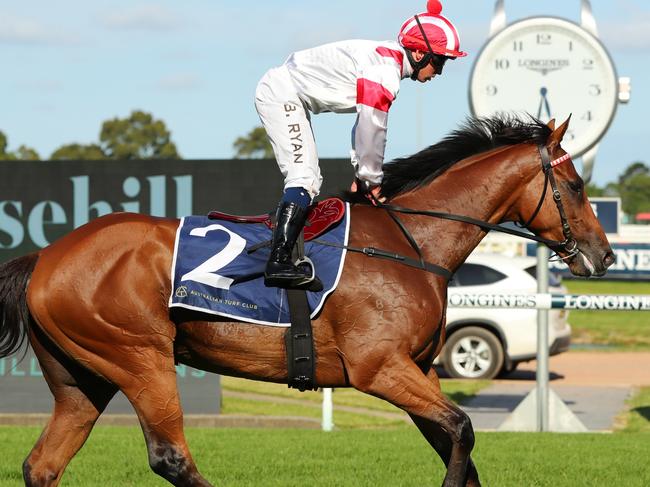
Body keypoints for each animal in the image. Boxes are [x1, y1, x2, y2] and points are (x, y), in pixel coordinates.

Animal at [0, 116, 612, 486]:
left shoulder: (417, 370)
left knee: (42, 465)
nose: (602, 256)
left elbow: (456, 438)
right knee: (169, 455)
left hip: (83, 377)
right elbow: (462, 428)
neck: (410, 243)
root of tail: (46, 256)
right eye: (576, 185)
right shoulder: (378, 369)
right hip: (139, 356)